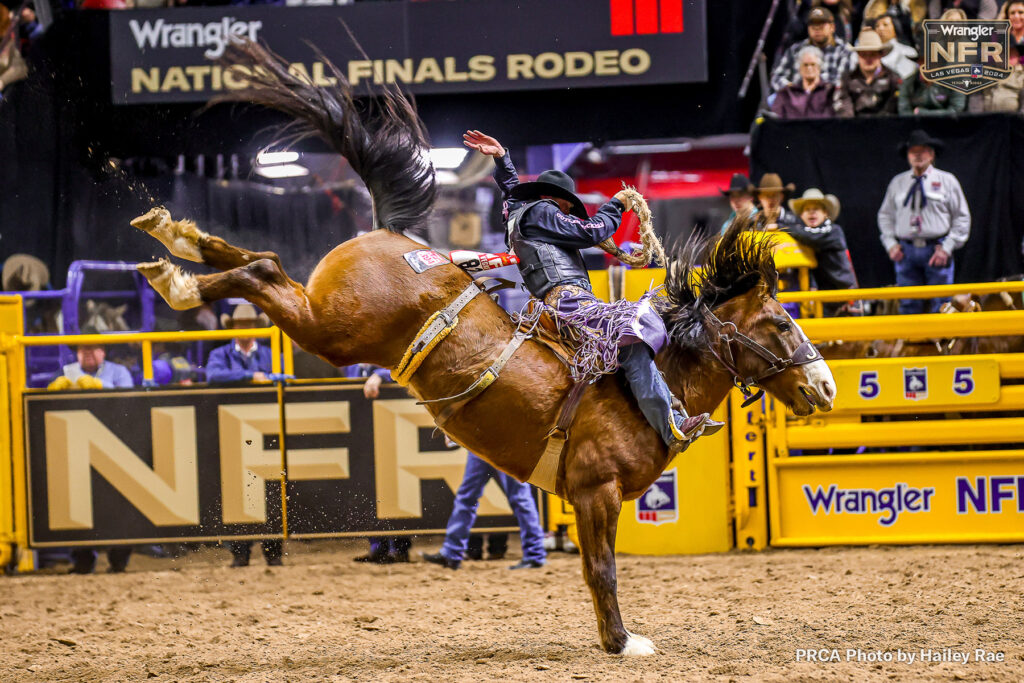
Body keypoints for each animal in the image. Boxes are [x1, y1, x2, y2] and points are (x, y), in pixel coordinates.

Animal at [128, 41, 835, 655]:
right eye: (779, 324)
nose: (826, 386)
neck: (652, 383)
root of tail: (396, 237)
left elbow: (596, 568)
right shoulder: (595, 492)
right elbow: (602, 570)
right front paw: (622, 642)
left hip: (324, 318)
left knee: (263, 262)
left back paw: (174, 243)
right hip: (333, 329)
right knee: (265, 271)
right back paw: (179, 277)